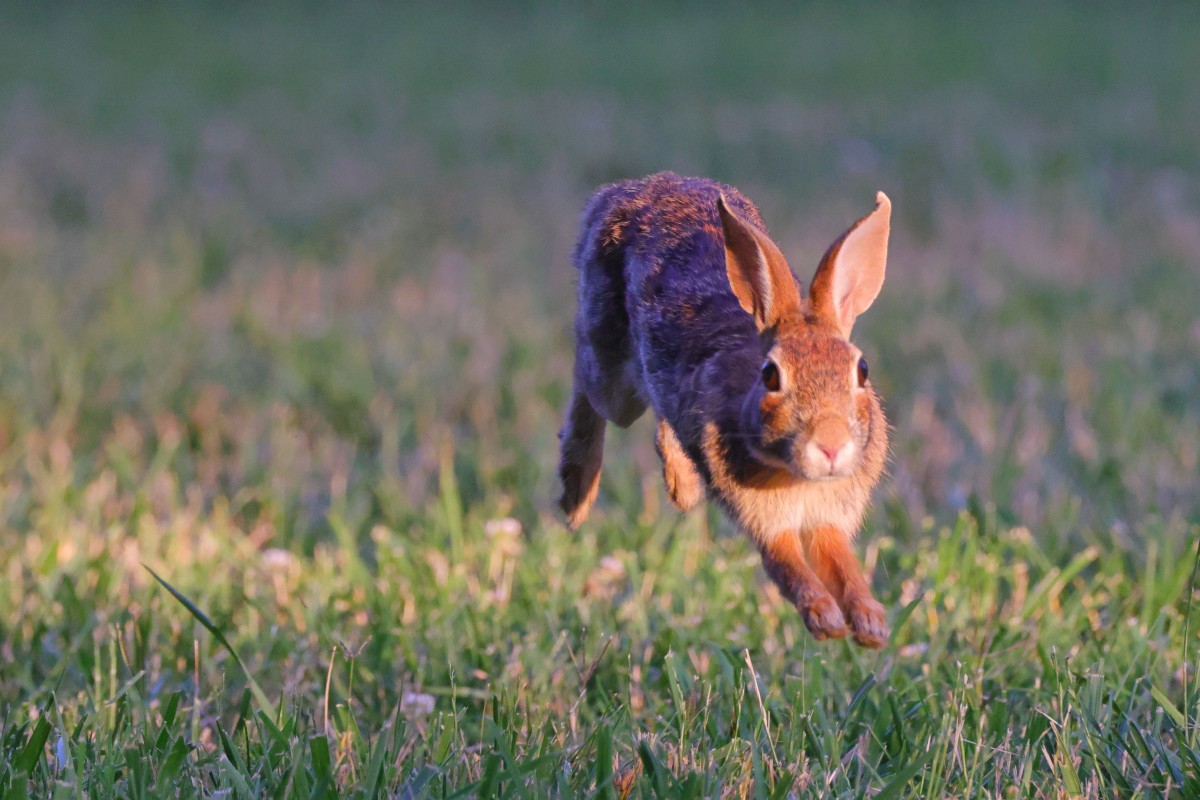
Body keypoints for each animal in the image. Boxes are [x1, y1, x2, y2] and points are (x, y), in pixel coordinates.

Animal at [557, 172, 892, 648]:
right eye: (770, 375)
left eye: (861, 370)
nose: (830, 446)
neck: (798, 476)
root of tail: (628, 189)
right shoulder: (768, 521)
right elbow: (788, 566)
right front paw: (825, 619)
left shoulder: (829, 518)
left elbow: (843, 566)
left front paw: (869, 626)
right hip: (613, 375)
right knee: (588, 383)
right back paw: (576, 496)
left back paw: (681, 489)